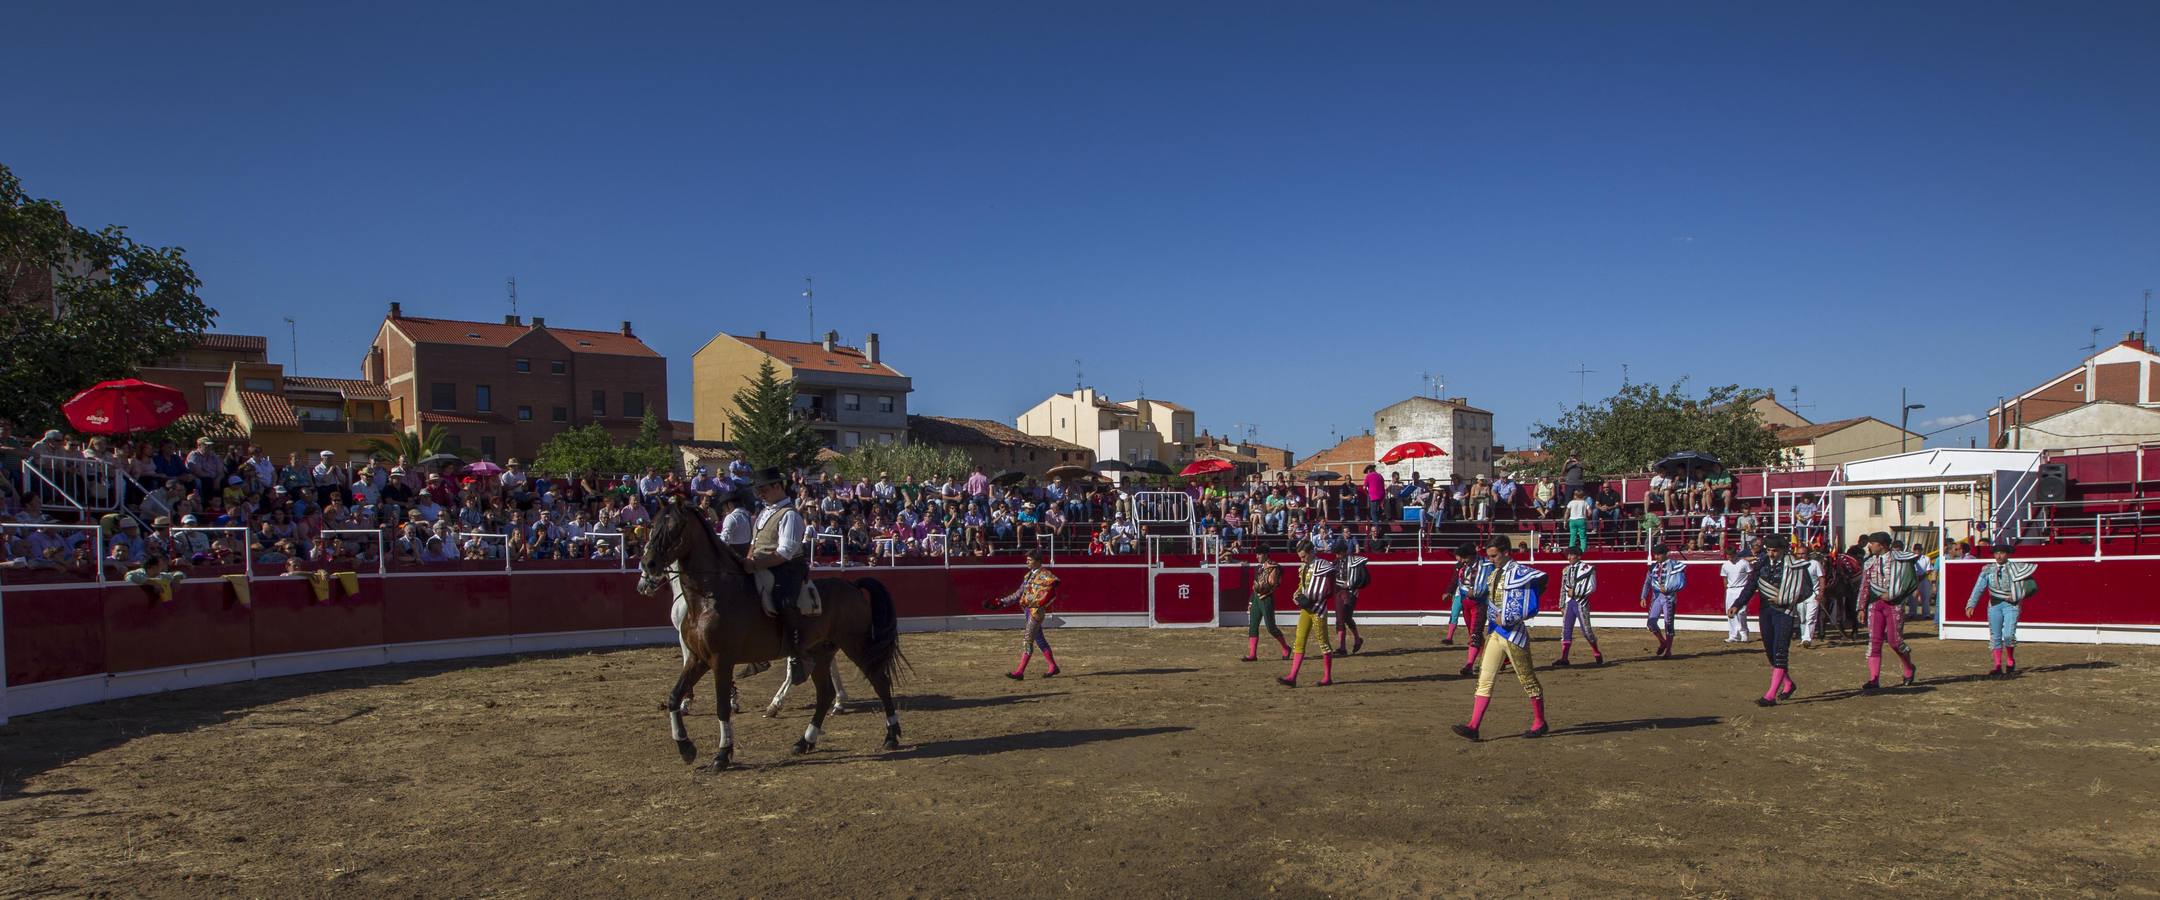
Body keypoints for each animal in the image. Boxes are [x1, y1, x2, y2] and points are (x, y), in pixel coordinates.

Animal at [639, 494, 911, 768]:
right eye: (653, 524)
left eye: (674, 527)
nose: (648, 565)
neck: (711, 596)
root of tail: (852, 586)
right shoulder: (698, 658)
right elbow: (673, 696)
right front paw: (685, 747)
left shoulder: (721, 660)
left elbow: (722, 706)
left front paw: (723, 754)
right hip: (821, 651)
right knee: (824, 693)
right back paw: (805, 740)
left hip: (856, 644)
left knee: (879, 680)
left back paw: (891, 735)